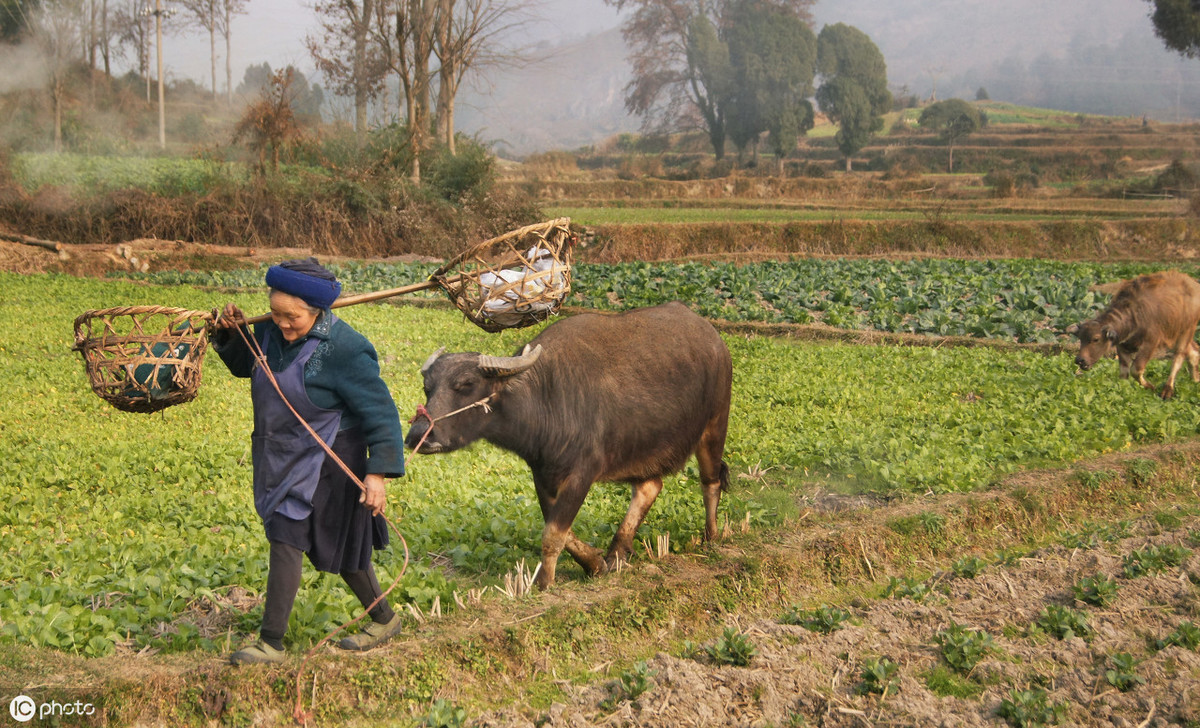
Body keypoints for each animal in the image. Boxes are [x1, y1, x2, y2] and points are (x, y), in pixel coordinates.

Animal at [1070, 272, 1200, 398]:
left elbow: (1136, 369)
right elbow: (1124, 373)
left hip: (1187, 331)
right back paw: (1195, 378)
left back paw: (1167, 390)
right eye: (1080, 338)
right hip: (1175, 334)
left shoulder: (1150, 343)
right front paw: (1123, 389)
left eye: (1096, 339)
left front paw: (1151, 387)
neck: (1133, 316)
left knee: (1179, 356)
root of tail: (1194, 285)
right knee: (1193, 351)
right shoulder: (1122, 346)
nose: (1080, 360)